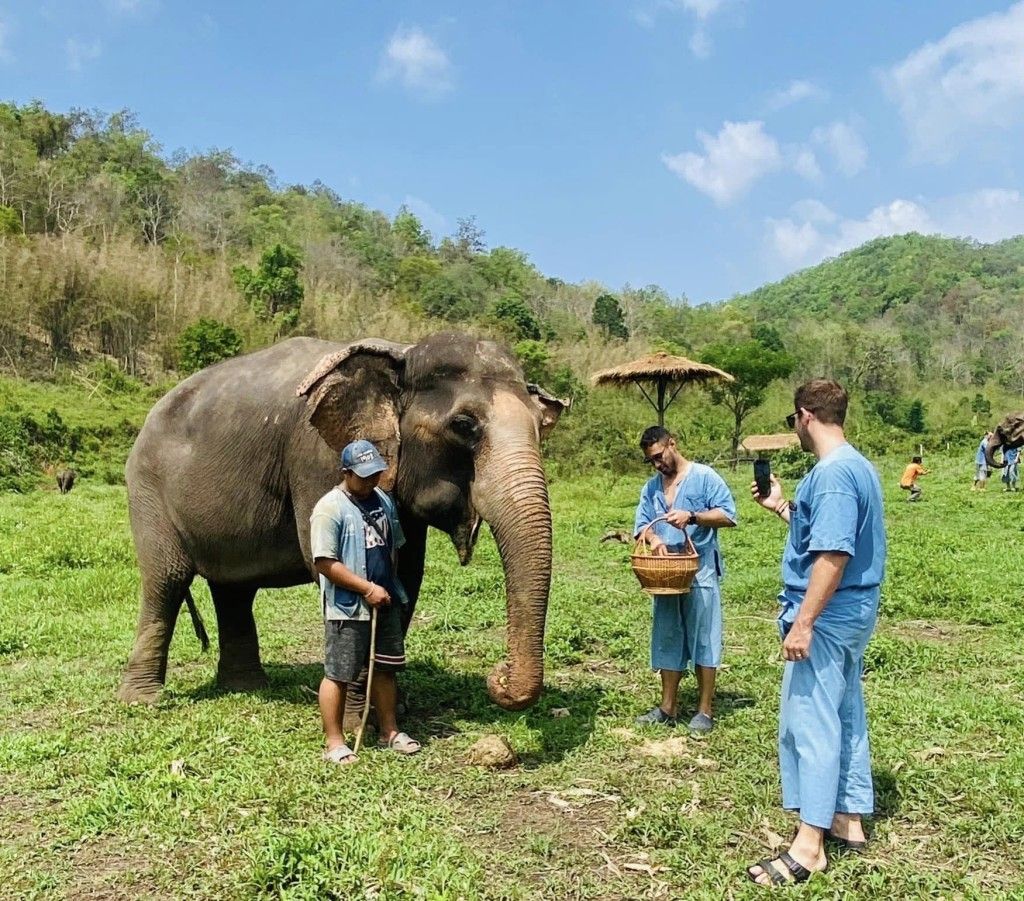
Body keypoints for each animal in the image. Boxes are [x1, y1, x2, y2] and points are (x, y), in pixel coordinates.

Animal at [117, 332, 567, 711]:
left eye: (539, 427)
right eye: (463, 425)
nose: (499, 677)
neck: (402, 351)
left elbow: (405, 576)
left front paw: (392, 711)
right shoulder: (319, 456)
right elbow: (341, 567)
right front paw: (358, 721)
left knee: (233, 589)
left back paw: (246, 688)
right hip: (147, 490)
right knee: (167, 580)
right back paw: (144, 700)